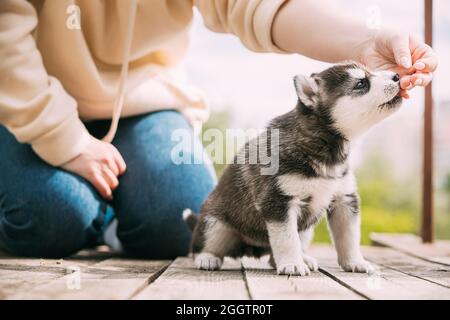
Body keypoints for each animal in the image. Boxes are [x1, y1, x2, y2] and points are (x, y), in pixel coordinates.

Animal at [185, 62, 402, 276]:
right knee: (202, 246)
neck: (324, 146)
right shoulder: (278, 201)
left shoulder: (344, 199)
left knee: (280, 252)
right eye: (361, 83)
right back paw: (207, 257)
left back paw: (302, 258)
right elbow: (287, 239)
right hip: (215, 225)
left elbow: (349, 237)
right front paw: (292, 264)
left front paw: (355, 262)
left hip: (306, 230)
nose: (397, 76)